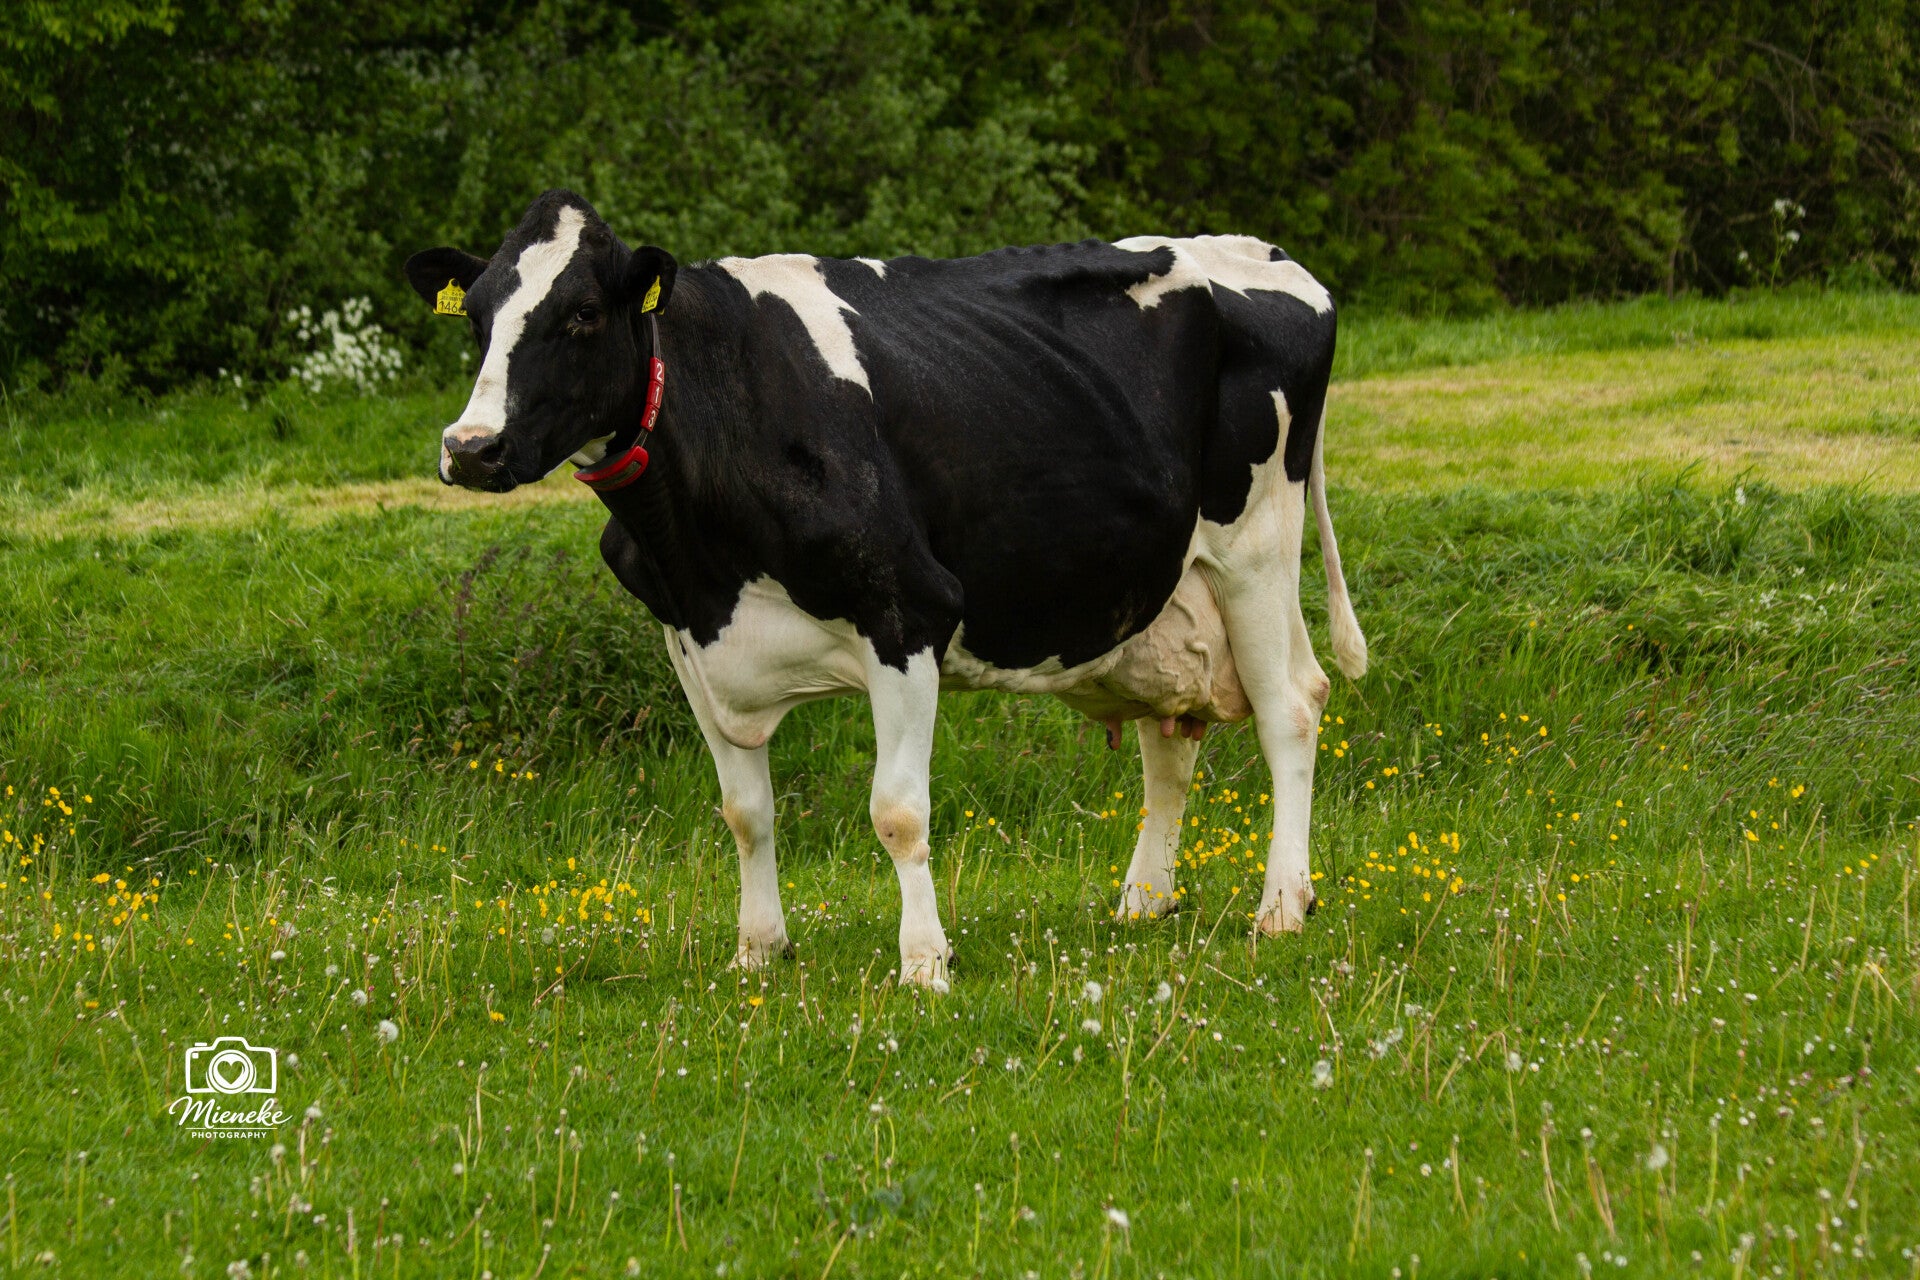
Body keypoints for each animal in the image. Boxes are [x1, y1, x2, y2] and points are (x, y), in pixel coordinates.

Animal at [405, 190, 1366, 989]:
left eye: (582, 313)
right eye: (477, 316)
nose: (470, 447)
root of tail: (1265, 252)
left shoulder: (908, 611)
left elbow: (898, 811)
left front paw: (924, 964)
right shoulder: (687, 636)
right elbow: (745, 812)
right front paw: (758, 950)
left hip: (1254, 545)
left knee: (1293, 704)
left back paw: (1281, 905)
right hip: (1162, 593)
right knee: (1171, 739)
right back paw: (1143, 899)